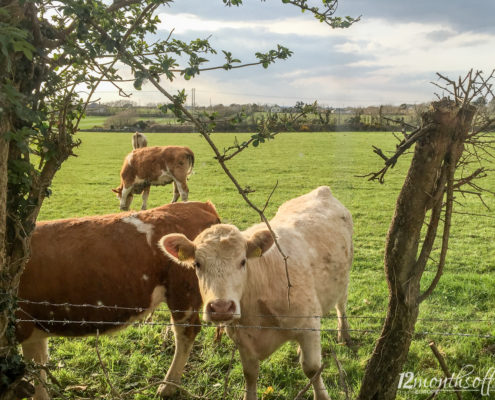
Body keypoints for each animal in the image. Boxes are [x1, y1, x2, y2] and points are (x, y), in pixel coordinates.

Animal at [17, 202, 220, 400]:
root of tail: (200, 204)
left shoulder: (23, 324)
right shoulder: (34, 328)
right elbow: (39, 369)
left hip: (183, 295)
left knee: (186, 333)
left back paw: (167, 386)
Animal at [161, 188, 354, 400]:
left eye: (243, 261)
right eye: (197, 264)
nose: (221, 307)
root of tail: (322, 190)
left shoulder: (308, 324)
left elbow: (312, 369)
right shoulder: (242, 338)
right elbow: (250, 374)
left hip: (344, 280)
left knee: (341, 306)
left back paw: (344, 334)